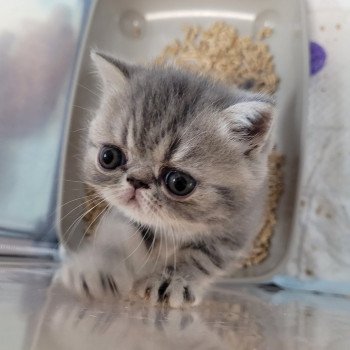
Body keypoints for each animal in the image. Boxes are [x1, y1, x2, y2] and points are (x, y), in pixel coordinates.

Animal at [57, 50, 274, 308]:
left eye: (179, 183)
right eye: (108, 157)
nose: (137, 181)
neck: (176, 226)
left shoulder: (236, 230)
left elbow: (202, 257)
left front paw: (171, 279)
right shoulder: (126, 215)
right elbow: (117, 233)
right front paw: (97, 267)